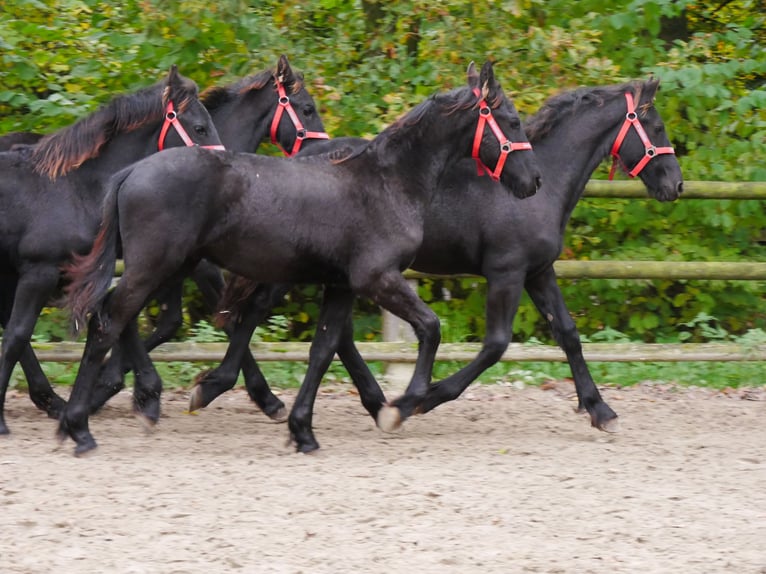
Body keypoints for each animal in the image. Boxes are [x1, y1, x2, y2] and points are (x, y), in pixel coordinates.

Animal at [63, 60, 544, 456]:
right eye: (513, 120)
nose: (533, 181)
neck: (387, 182)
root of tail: (130, 172)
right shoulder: (378, 278)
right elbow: (430, 327)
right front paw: (403, 406)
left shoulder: (342, 285)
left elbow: (323, 349)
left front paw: (303, 431)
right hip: (155, 267)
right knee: (108, 322)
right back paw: (80, 427)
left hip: (171, 267)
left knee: (117, 317)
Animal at [192, 77, 684, 454]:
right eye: (657, 125)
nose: (675, 185)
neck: (537, 188)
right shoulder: (506, 273)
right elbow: (495, 346)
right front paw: (422, 399)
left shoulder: (538, 272)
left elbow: (568, 335)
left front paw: (601, 410)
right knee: (254, 315)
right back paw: (228, 390)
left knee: (329, 335)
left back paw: (360, 402)